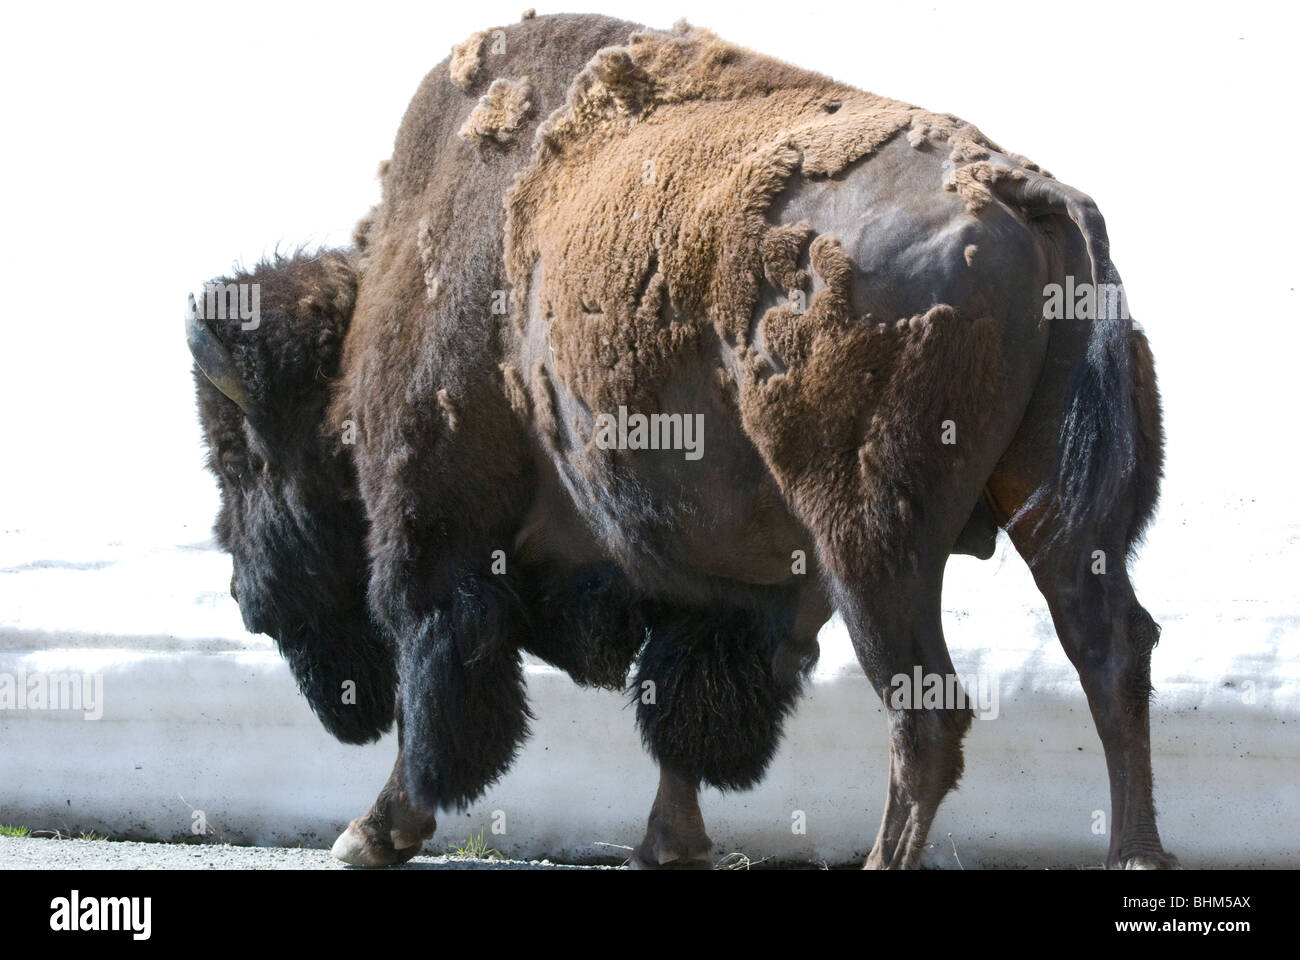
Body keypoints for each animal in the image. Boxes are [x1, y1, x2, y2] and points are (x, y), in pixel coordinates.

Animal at [188, 13, 1175, 868]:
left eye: (244, 461)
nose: (240, 594)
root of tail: (1022, 194)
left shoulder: (438, 531)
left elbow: (437, 684)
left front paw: (370, 833)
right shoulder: (713, 585)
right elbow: (685, 711)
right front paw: (669, 843)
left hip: (874, 549)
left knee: (928, 712)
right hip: (1058, 519)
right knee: (1110, 653)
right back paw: (1137, 855)